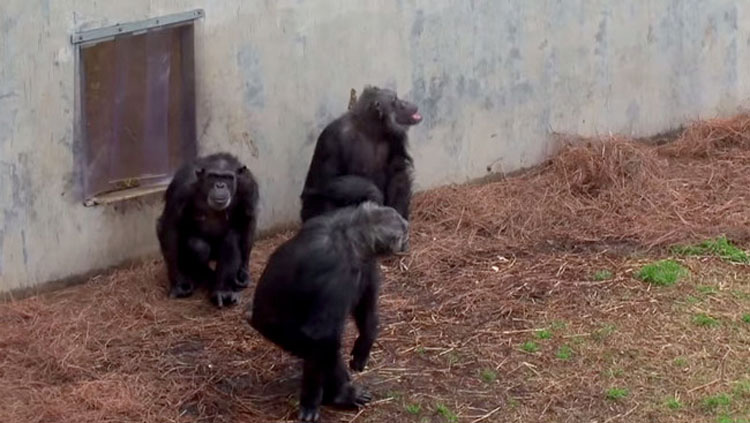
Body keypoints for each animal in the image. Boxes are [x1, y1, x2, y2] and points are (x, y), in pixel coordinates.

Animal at [156, 152, 258, 308]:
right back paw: (206, 278)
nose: (220, 185)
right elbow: (170, 225)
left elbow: (247, 221)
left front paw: (243, 272)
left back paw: (222, 290)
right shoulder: (181, 188)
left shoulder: (248, 186)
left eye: (227, 177)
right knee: (198, 247)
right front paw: (178, 284)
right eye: (213, 176)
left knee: (231, 240)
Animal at [248, 203, 412, 423]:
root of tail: (255, 319)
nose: (407, 241)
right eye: (403, 234)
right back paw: (341, 394)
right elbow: (321, 335)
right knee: (326, 347)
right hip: (278, 331)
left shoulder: (365, 261)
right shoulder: (335, 273)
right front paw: (315, 400)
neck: (352, 237)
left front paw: (364, 345)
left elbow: (365, 302)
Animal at [300, 87, 424, 225]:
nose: (404, 102)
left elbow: (398, 172)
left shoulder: (397, 136)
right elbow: (327, 179)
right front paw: (373, 194)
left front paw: (396, 216)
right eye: (394, 100)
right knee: (325, 201)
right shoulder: (331, 139)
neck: (371, 129)